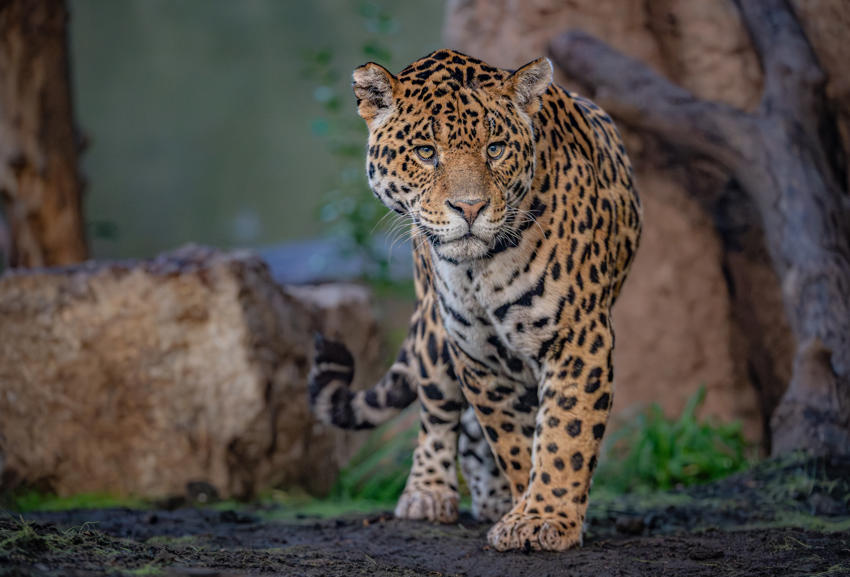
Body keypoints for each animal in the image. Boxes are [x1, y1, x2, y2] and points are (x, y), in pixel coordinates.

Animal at [309, 49, 642, 551]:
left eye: (496, 149)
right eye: (426, 152)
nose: (469, 208)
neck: (480, 269)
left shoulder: (577, 337)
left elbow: (564, 434)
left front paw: (543, 518)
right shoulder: (477, 353)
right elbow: (514, 442)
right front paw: (528, 509)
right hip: (434, 333)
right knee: (437, 411)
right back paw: (429, 493)